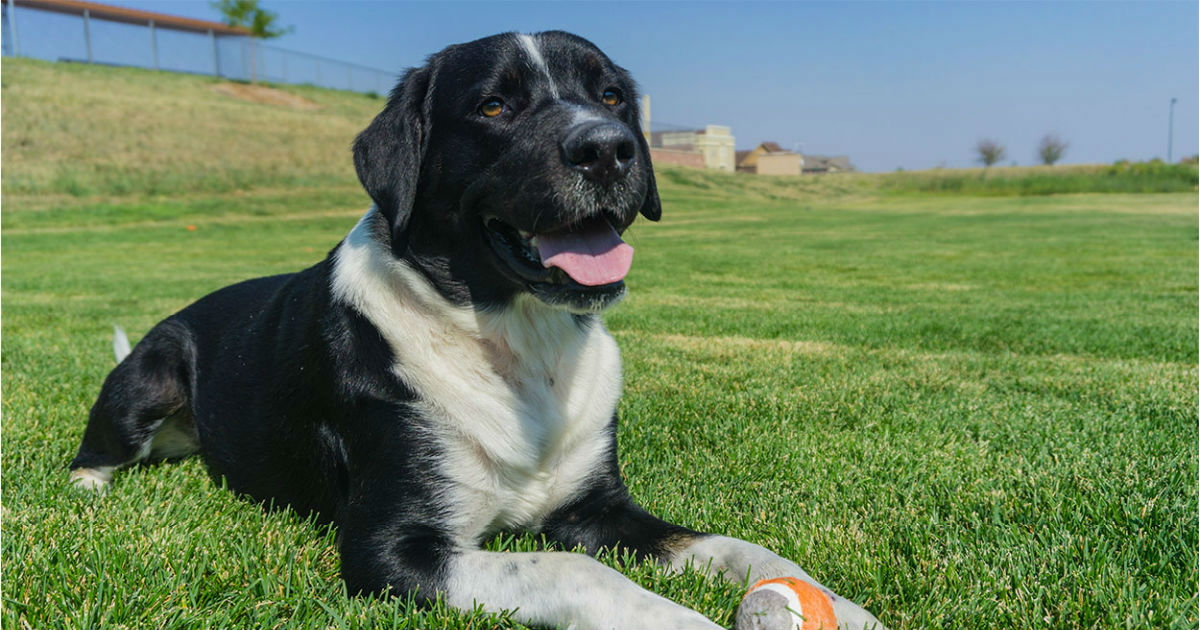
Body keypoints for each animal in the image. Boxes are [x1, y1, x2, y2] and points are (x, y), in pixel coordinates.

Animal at [70, 30, 888, 628]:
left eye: (613, 95)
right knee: (97, 447)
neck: (518, 342)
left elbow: (729, 544)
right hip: (151, 372)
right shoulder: (394, 552)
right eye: (494, 106)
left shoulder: (598, 507)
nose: (608, 146)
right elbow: (577, 570)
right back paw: (90, 491)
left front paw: (839, 606)